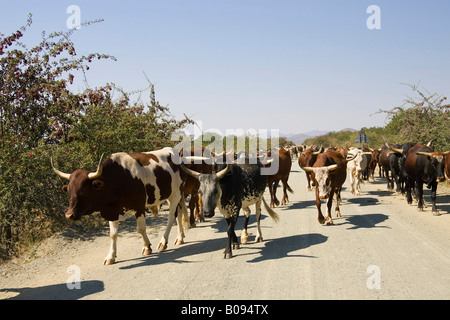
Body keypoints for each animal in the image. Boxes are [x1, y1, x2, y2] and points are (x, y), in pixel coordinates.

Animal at [52, 148, 190, 264]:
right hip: (171, 195)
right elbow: (113, 234)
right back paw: (180, 238)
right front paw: (110, 256)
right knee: (178, 214)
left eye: (83, 190)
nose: (69, 215)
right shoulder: (112, 211)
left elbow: (141, 229)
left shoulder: (139, 207)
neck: (120, 178)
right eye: (69, 191)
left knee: (171, 217)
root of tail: (175, 152)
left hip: (176, 193)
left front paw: (146, 247)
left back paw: (163, 242)